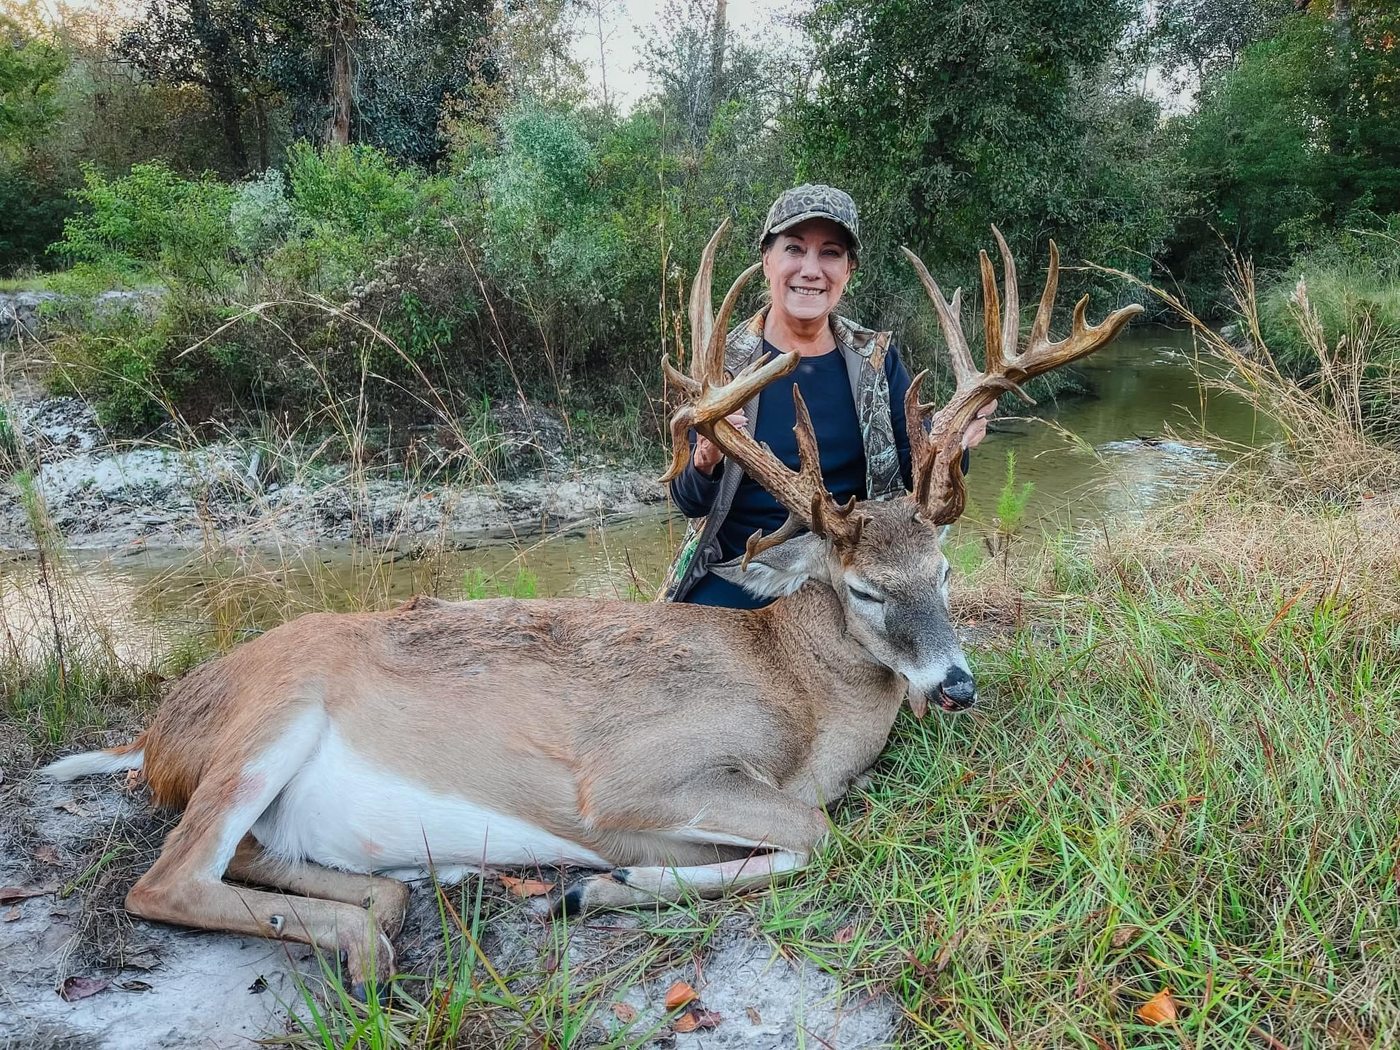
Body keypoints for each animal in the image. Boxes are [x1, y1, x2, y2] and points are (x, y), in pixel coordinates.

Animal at [40, 224, 1140, 994]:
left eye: (944, 570)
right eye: (867, 587)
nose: (953, 686)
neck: (795, 696)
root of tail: (154, 736)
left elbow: (808, 833)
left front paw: (593, 887)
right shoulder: (628, 776)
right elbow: (818, 831)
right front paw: (593, 885)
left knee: (262, 861)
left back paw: (394, 900)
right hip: (268, 715)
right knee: (164, 879)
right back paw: (368, 948)